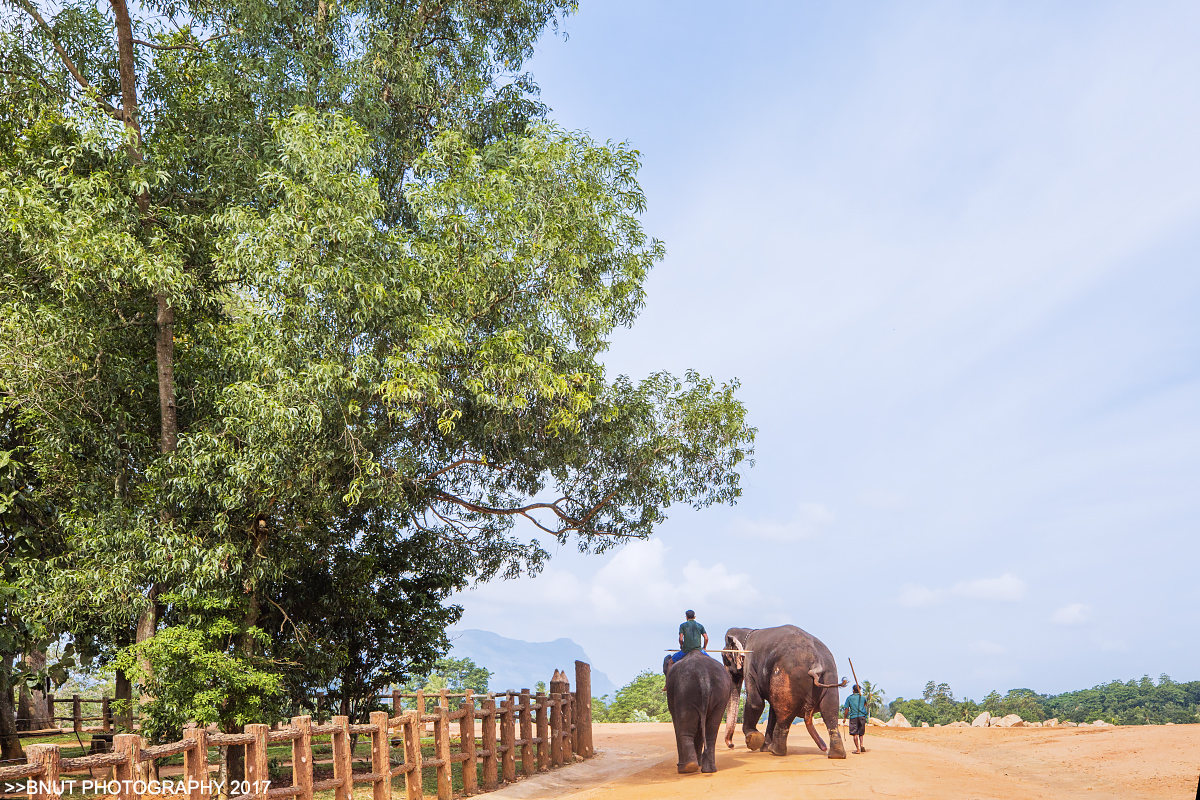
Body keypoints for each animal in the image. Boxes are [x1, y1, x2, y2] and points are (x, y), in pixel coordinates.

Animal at [715, 623, 849, 762]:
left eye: (725, 659)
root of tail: (816, 663)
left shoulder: (749, 665)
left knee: (784, 713)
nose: (731, 745)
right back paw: (836, 755)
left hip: (786, 676)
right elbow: (771, 710)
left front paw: (754, 739)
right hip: (830, 676)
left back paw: (776, 751)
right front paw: (764, 748)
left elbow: (755, 703)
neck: (746, 631)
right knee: (830, 710)